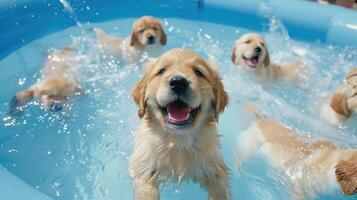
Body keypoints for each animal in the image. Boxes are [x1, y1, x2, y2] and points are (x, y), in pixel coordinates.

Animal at [129, 48, 229, 200]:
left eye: (198, 72)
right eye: (161, 71)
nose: (178, 82)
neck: (178, 139)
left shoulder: (215, 169)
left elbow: (220, 192)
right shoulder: (143, 168)